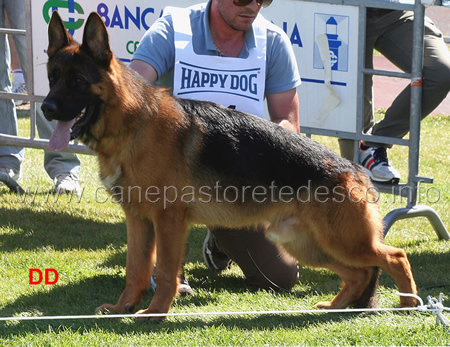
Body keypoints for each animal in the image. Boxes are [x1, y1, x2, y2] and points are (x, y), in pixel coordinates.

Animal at [42, 12, 418, 320]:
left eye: (78, 81)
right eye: (52, 78)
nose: (45, 108)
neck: (131, 122)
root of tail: (355, 170)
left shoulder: (168, 221)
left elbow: (165, 272)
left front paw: (155, 313)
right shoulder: (138, 221)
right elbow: (135, 269)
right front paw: (124, 307)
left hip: (343, 242)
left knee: (394, 257)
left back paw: (409, 305)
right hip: (307, 243)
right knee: (358, 274)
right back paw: (336, 307)